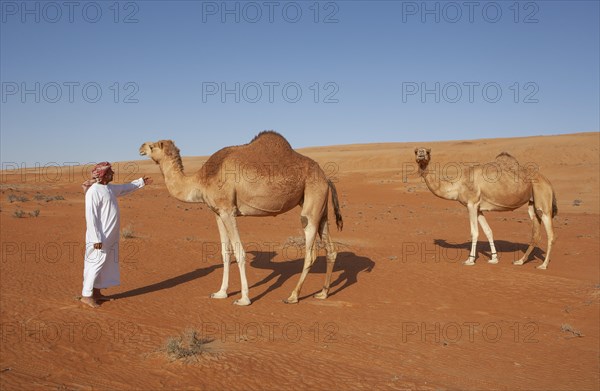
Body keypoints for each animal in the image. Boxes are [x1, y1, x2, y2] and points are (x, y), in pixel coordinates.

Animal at [137, 132, 342, 306]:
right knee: (331, 250)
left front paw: (244, 298)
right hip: (320, 209)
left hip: (311, 206)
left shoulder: (228, 211)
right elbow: (225, 253)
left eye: (153, 146)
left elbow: (239, 252)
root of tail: (326, 178)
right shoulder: (218, 213)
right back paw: (323, 293)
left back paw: (293, 296)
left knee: (311, 251)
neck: (202, 180)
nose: (140, 146)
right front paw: (220, 293)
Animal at [414, 148, 556, 270]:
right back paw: (520, 261)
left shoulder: (471, 204)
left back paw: (543, 265)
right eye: (416, 151)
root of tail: (548, 182)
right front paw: (494, 258)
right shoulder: (478, 208)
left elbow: (474, 232)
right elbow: (488, 231)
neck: (458, 185)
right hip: (533, 204)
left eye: (428, 151)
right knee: (536, 234)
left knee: (551, 234)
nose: (421, 154)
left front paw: (470, 260)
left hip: (543, 201)